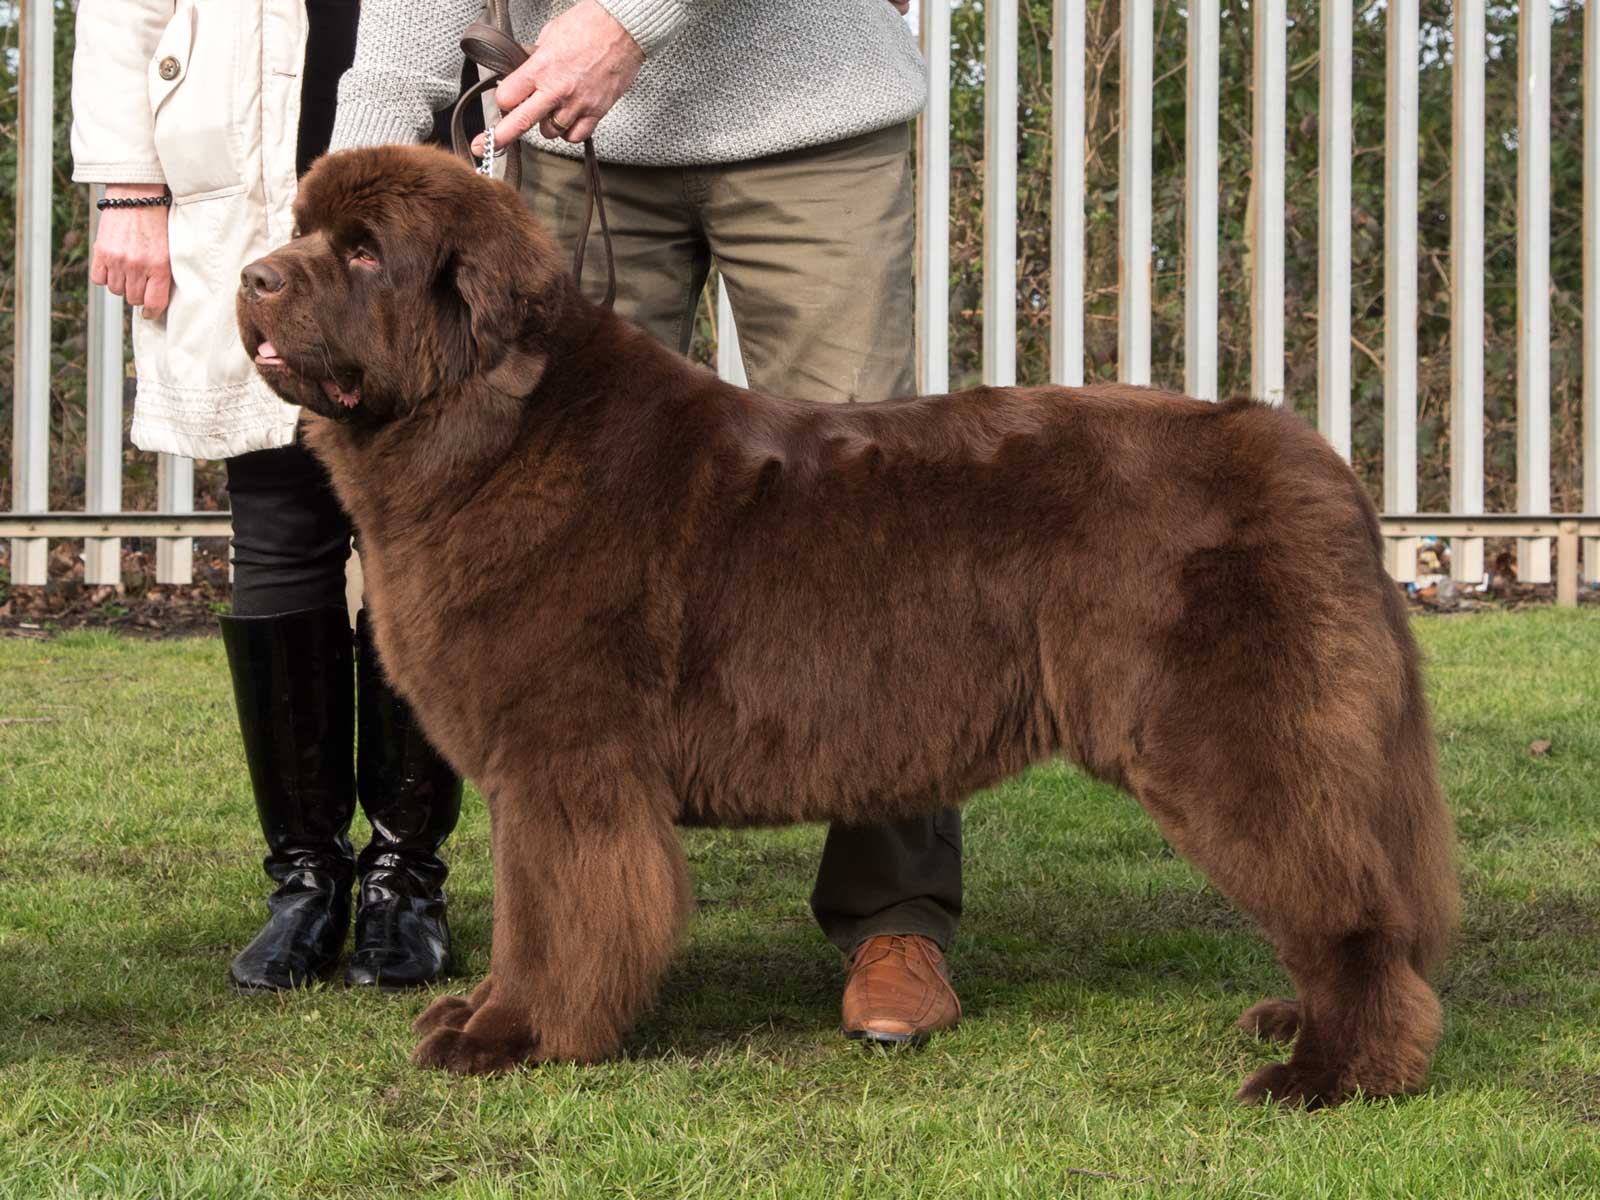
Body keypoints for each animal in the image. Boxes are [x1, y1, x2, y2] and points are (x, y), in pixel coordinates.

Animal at [237, 144, 1457, 1107]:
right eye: (301, 233)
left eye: (364, 255)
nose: (252, 276)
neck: (495, 430)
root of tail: (1302, 452)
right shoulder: (541, 769)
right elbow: (534, 917)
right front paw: (482, 1015)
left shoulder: (564, 762)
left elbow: (553, 918)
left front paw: (512, 1035)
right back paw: (1295, 1024)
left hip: (1229, 738)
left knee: (1345, 911)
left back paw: (1330, 1072)